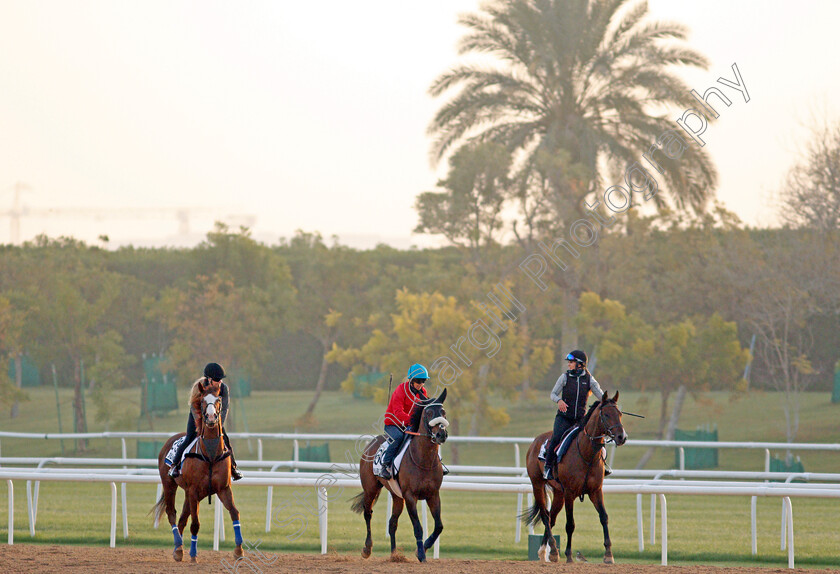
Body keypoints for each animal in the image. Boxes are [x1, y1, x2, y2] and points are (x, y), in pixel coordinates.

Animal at [152, 384, 244, 564]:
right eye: (202, 401)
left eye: (219, 399)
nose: (211, 417)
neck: (210, 454)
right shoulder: (194, 490)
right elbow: (195, 524)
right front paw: (193, 555)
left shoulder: (223, 488)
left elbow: (234, 512)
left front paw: (238, 550)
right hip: (170, 485)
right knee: (172, 514)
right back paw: (179, 547)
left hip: (190, 494)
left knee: (182, 518)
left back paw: (178, 549)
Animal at [352, 390, 450, 564]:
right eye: (429, 413)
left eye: (443, 412)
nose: (441, 434)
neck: (423, 460)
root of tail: (371, 444)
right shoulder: (410, 496)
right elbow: (418, 528)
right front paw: (421, 554)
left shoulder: (433, 494)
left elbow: (439, 526)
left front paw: (423, 548)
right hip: (371, 488)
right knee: (368, 513)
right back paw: (367, 549)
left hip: (397, 496)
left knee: (392, 523)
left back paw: (394, 554)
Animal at [520, 392, 628, 568]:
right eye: (606, 414)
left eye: (619, 414)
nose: (621, 437)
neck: (586, 454)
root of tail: (536, 441)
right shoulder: (570, 493)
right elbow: (570, 524)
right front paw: (569, 555)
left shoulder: (595, 491)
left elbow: (604, 517)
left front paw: (608, 555)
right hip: (537, 484)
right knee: (545, 515)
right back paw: (553, 550)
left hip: (558, 493)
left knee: (551, 517)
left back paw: (546, 552)